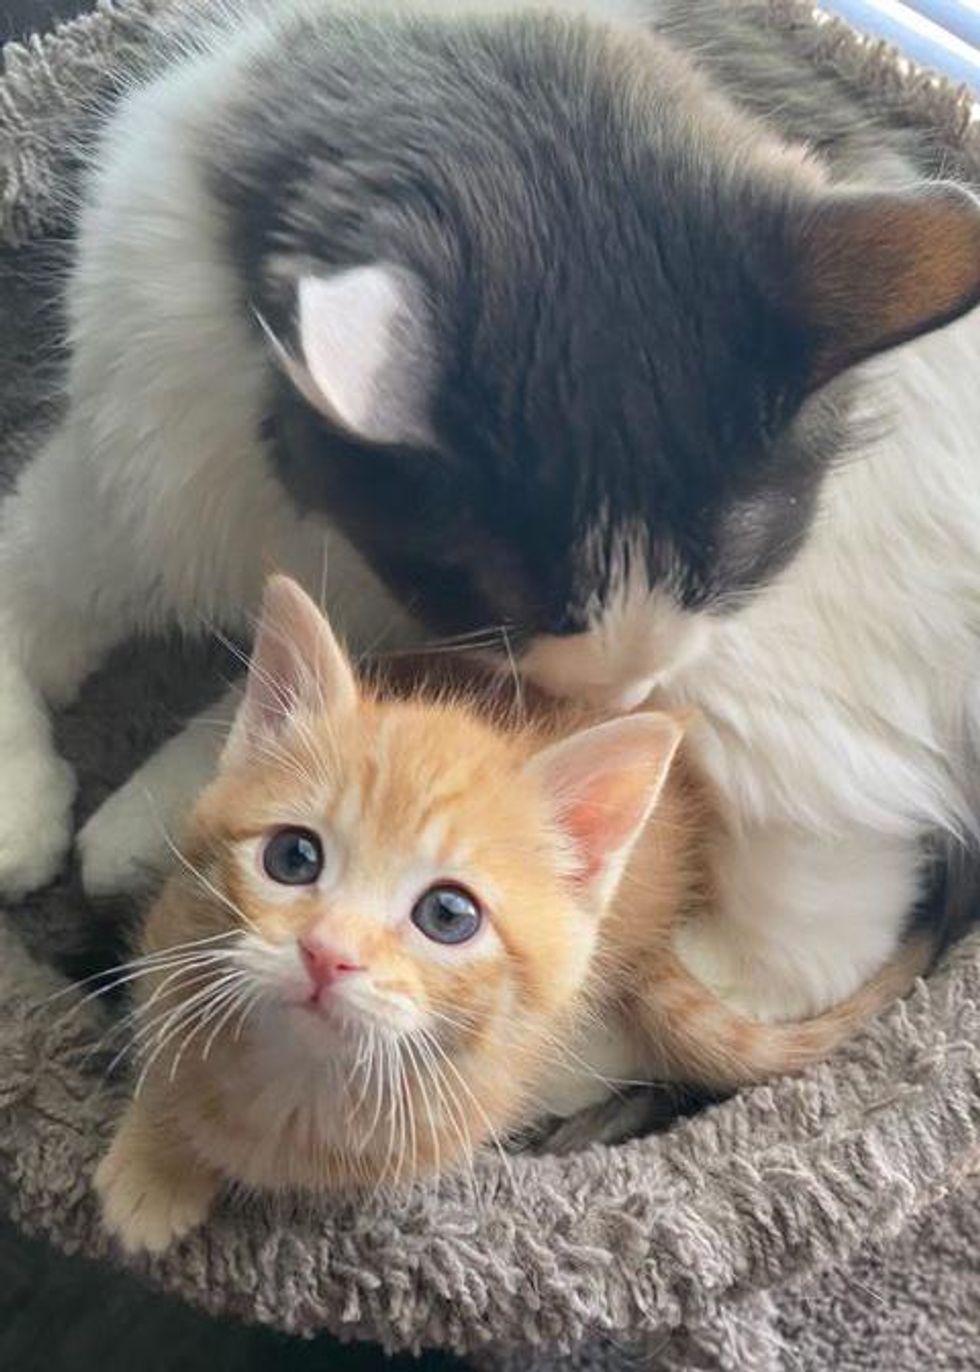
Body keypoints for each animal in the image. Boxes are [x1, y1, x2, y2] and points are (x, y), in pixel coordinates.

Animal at [1, 0, 977, 1026]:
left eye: (731, 581)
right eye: (505, 609)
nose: (611, 702)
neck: (301, 533)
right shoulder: (130, 475)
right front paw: (27, 809)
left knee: (818, 930)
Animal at [93, 578, 922, 1256]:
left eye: (448, 914)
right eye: (293, 858)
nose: (327, 953)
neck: (301, 1082)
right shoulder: (170, 938)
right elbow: (164, 1046)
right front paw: (155, 1157)